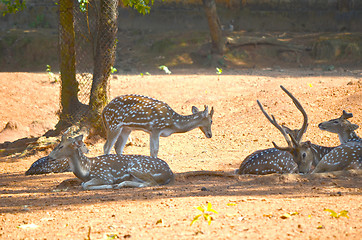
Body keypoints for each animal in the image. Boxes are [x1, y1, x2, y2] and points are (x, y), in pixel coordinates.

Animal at [47, 134, 175, 190]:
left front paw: (110, 185)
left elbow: (85, 185)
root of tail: (169, 173)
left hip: (136, 166)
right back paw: (120, 184)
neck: (86, 170)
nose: (49, 156)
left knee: (152, 183)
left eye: (61, 146)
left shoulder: (104, 175)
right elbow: (83, 184)